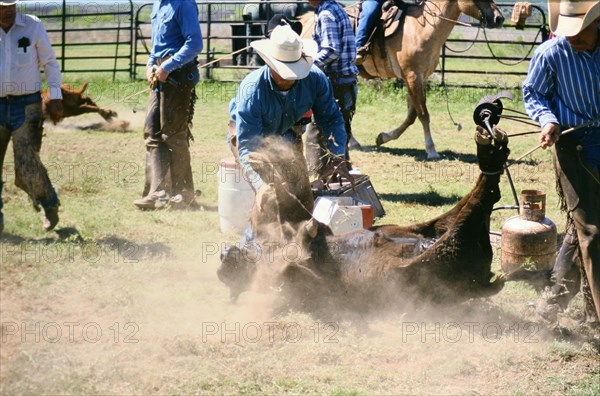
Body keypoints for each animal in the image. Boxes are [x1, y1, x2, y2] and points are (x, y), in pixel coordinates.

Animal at [302, 1, 504, 159]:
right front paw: (431, 150)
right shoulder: (413, 75)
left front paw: (383, 137)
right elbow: (423, 114)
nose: (499, 18)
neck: (423, 28)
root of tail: (307, 21)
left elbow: (412, 115)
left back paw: (353, 143)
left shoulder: (417, 78)